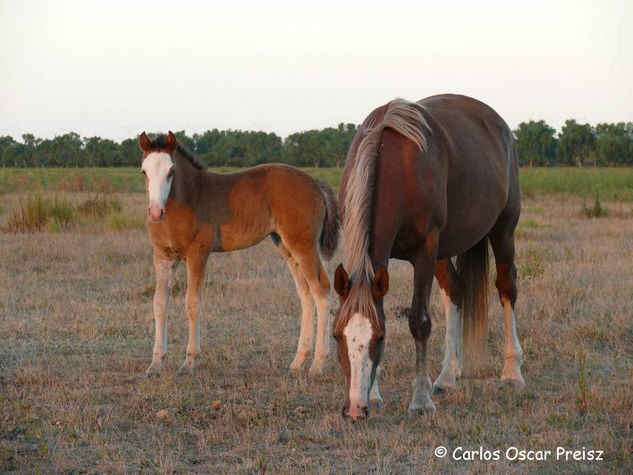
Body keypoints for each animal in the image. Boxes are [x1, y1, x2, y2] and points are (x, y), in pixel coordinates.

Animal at [136, 132, 338, 378]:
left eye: (171, 171)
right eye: (144, 171)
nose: (155, 212)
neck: (187, 199)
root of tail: (316, 184)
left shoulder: (197, 255)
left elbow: (192, 303)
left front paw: (189, 362)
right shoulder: (163, 258)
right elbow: (159, 304)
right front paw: (155, 364)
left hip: (304, 246)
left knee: (322, 291)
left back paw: (317, 364)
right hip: (287, 247)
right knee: (306, 295)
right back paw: (298, 362)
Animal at [330, 95, 524, 422]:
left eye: (380, 338)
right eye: (335, 336)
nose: (354, 409)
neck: (394, 161)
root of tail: (501, 128)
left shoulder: (425, 248)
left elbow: (419, 321)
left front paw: (420, 402)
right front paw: (375, 394)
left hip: (502, 231)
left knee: (506, 288)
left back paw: (512, 371)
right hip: (443, 252)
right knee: (455, 292)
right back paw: (447, 375)